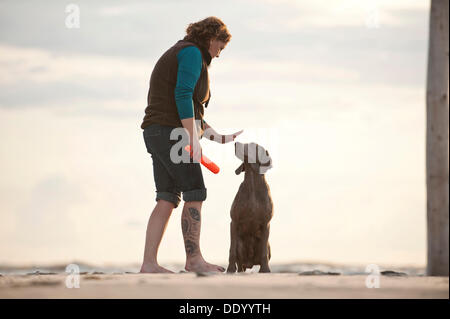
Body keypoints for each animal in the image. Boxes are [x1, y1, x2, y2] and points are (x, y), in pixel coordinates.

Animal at [227, 143, 272, 276]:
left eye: (252, 145)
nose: (235, 143)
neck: (252, 183)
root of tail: (249, 263)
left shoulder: (266, 223)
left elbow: (264, 253)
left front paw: (265, 270)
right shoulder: (234, 222)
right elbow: (232, 251)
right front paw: (230, 269)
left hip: (268, 245)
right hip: (240, 245)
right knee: (239, 260)